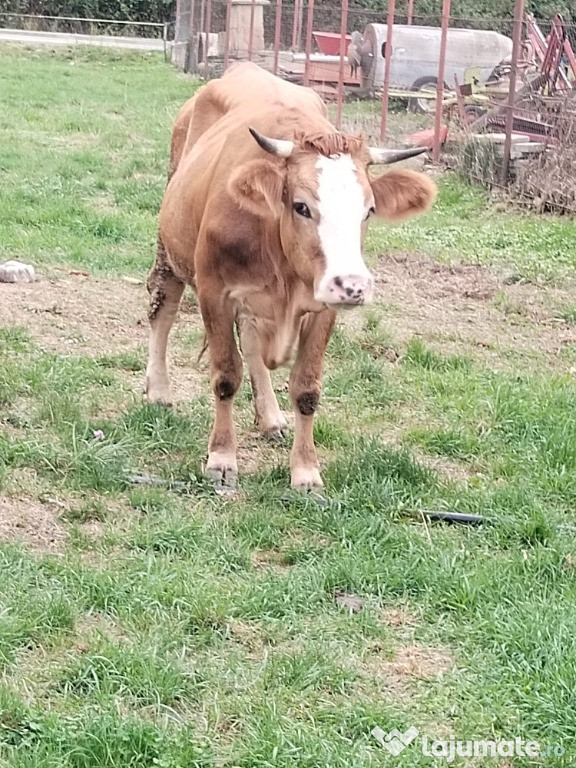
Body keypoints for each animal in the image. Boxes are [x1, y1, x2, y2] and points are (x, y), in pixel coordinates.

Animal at [145, 60, 436, 492]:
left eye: (368, 210)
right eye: (301, 206)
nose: (353, 285)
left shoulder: (323, 307)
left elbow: (306, 388)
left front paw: (306, 471)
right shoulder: (215, 292)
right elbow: (226, 375)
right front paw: (222, 459)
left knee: (252, 344)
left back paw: (270, 417)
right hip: (170, 248)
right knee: (163, 305)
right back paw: (158, 390)